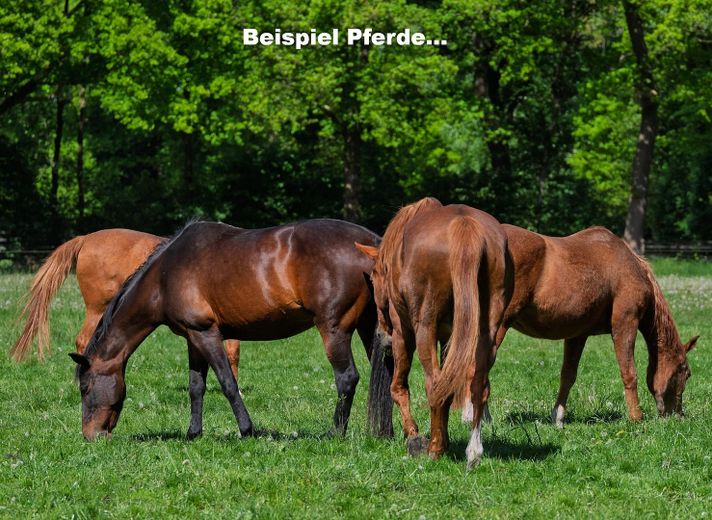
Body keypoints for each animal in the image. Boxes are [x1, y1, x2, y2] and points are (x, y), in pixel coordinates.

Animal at [69, 219, 393, 441]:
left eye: (85, 388)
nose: (90, 435)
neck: (165, 274)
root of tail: (373, 243)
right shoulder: (193, 338)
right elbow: (196, 386)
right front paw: (193, 433)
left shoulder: (207, 334)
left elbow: (227, 383)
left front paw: (247, 430)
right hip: (369, 326)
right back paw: (388, 432)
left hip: (334, 329)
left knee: (347, 378)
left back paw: (334, 433)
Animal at [356, 197, 513, 468]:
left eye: (374, 279)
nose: (382, 336)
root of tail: (465, 225)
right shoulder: (450, 337)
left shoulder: (402, 334)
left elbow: (398, 387)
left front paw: (414, 436)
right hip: (486, 330)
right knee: (477, 385)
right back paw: (473, 451)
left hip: (423, 330)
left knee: (434, 384)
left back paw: (434, 449)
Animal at [460, 224, 698, 426]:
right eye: (686, 372)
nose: (678, 415)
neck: (630, 266)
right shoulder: (625, 324)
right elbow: (629, 372)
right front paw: (636, 417)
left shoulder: (577, 334)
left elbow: (568, 375)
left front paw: (557, 417)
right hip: (498, 326)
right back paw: (476, 416)